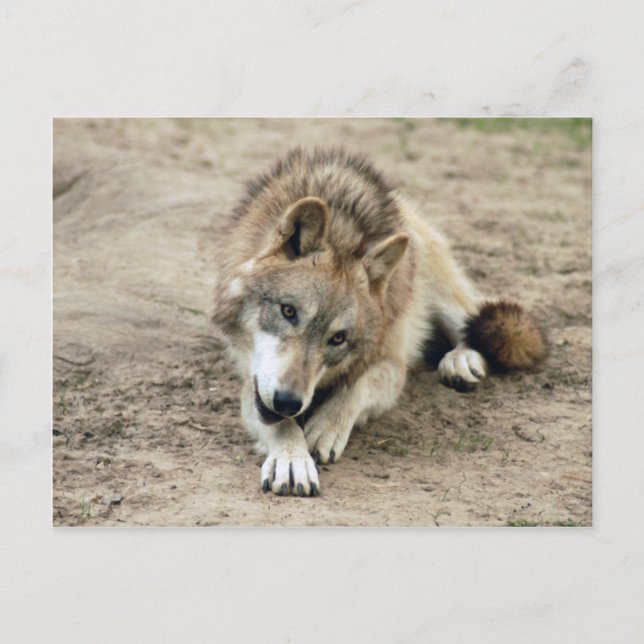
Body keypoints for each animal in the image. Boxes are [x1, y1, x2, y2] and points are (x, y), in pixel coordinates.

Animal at [212, 148, 545, 497]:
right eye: (288, 311)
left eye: (338, 338)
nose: (288, 402)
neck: (343, 233)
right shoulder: (251, 378)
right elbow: (280, 424)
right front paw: (292, 458)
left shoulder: (392, 363)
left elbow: (359, 385)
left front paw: (326, 427)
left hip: (438, 286)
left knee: (473, 322)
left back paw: (461, 360)